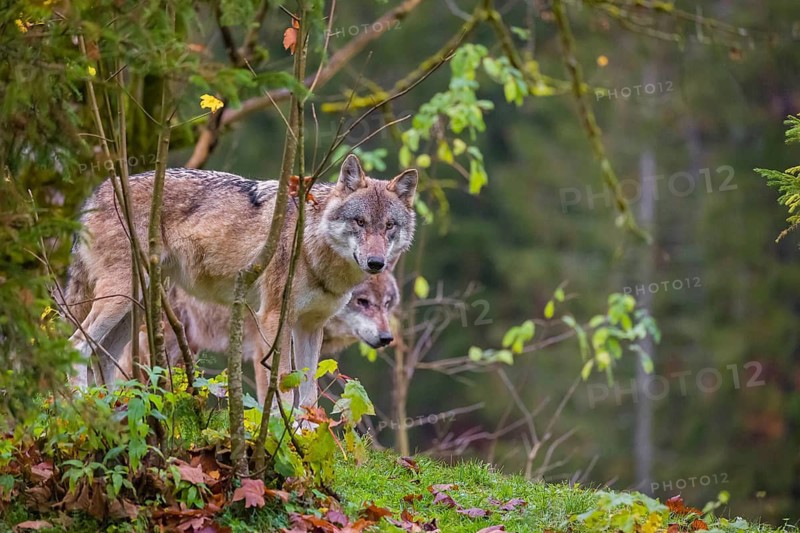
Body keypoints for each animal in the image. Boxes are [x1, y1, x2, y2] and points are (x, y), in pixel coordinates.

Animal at [63, 155, 416, 407]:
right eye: (360, 222)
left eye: (389, 226)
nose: (376, 262)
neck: (310, 244)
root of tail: (96, 193)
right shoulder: (272, 322)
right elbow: (281, 389)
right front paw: (280, 437)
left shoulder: (309, 326)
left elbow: (308, 392)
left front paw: (305, 438)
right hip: (122, 302)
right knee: (77, 345)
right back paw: (84, 405)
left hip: (135, 305)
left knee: (102, 355)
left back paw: (113, 408)